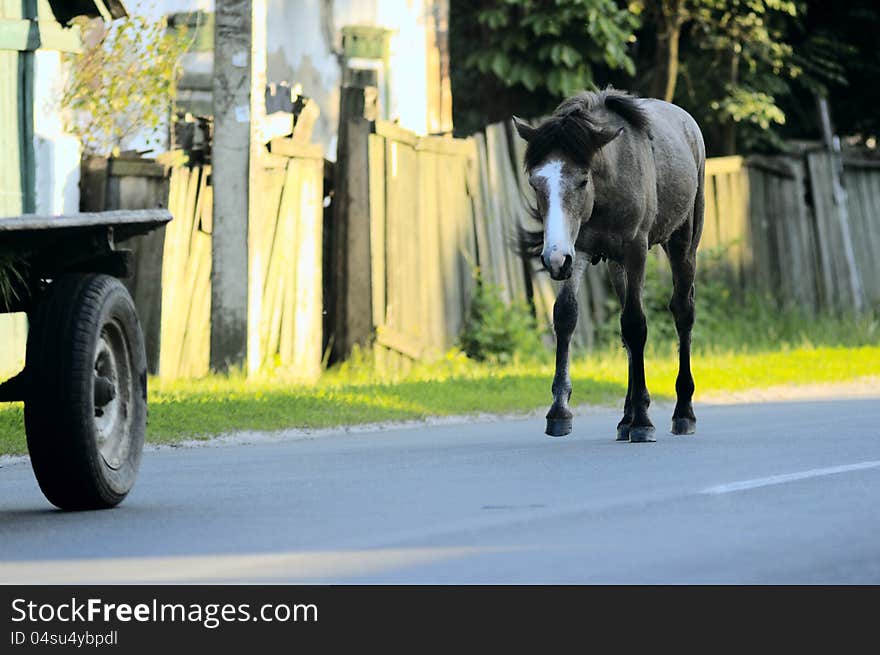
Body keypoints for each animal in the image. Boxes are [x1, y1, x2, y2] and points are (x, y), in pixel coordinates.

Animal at [512, 87, 704, 444]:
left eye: (582, 180)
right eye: (535, 183)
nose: (553, 259)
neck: (607, 186)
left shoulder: (636, 249)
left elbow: (636, 324)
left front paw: (643, 420)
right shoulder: (577, 249)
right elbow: (567, 316)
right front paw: (559, 411)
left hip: (684, 243)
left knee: (682, 313)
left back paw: (682, 412)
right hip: (615, 266)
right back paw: (625, 419)